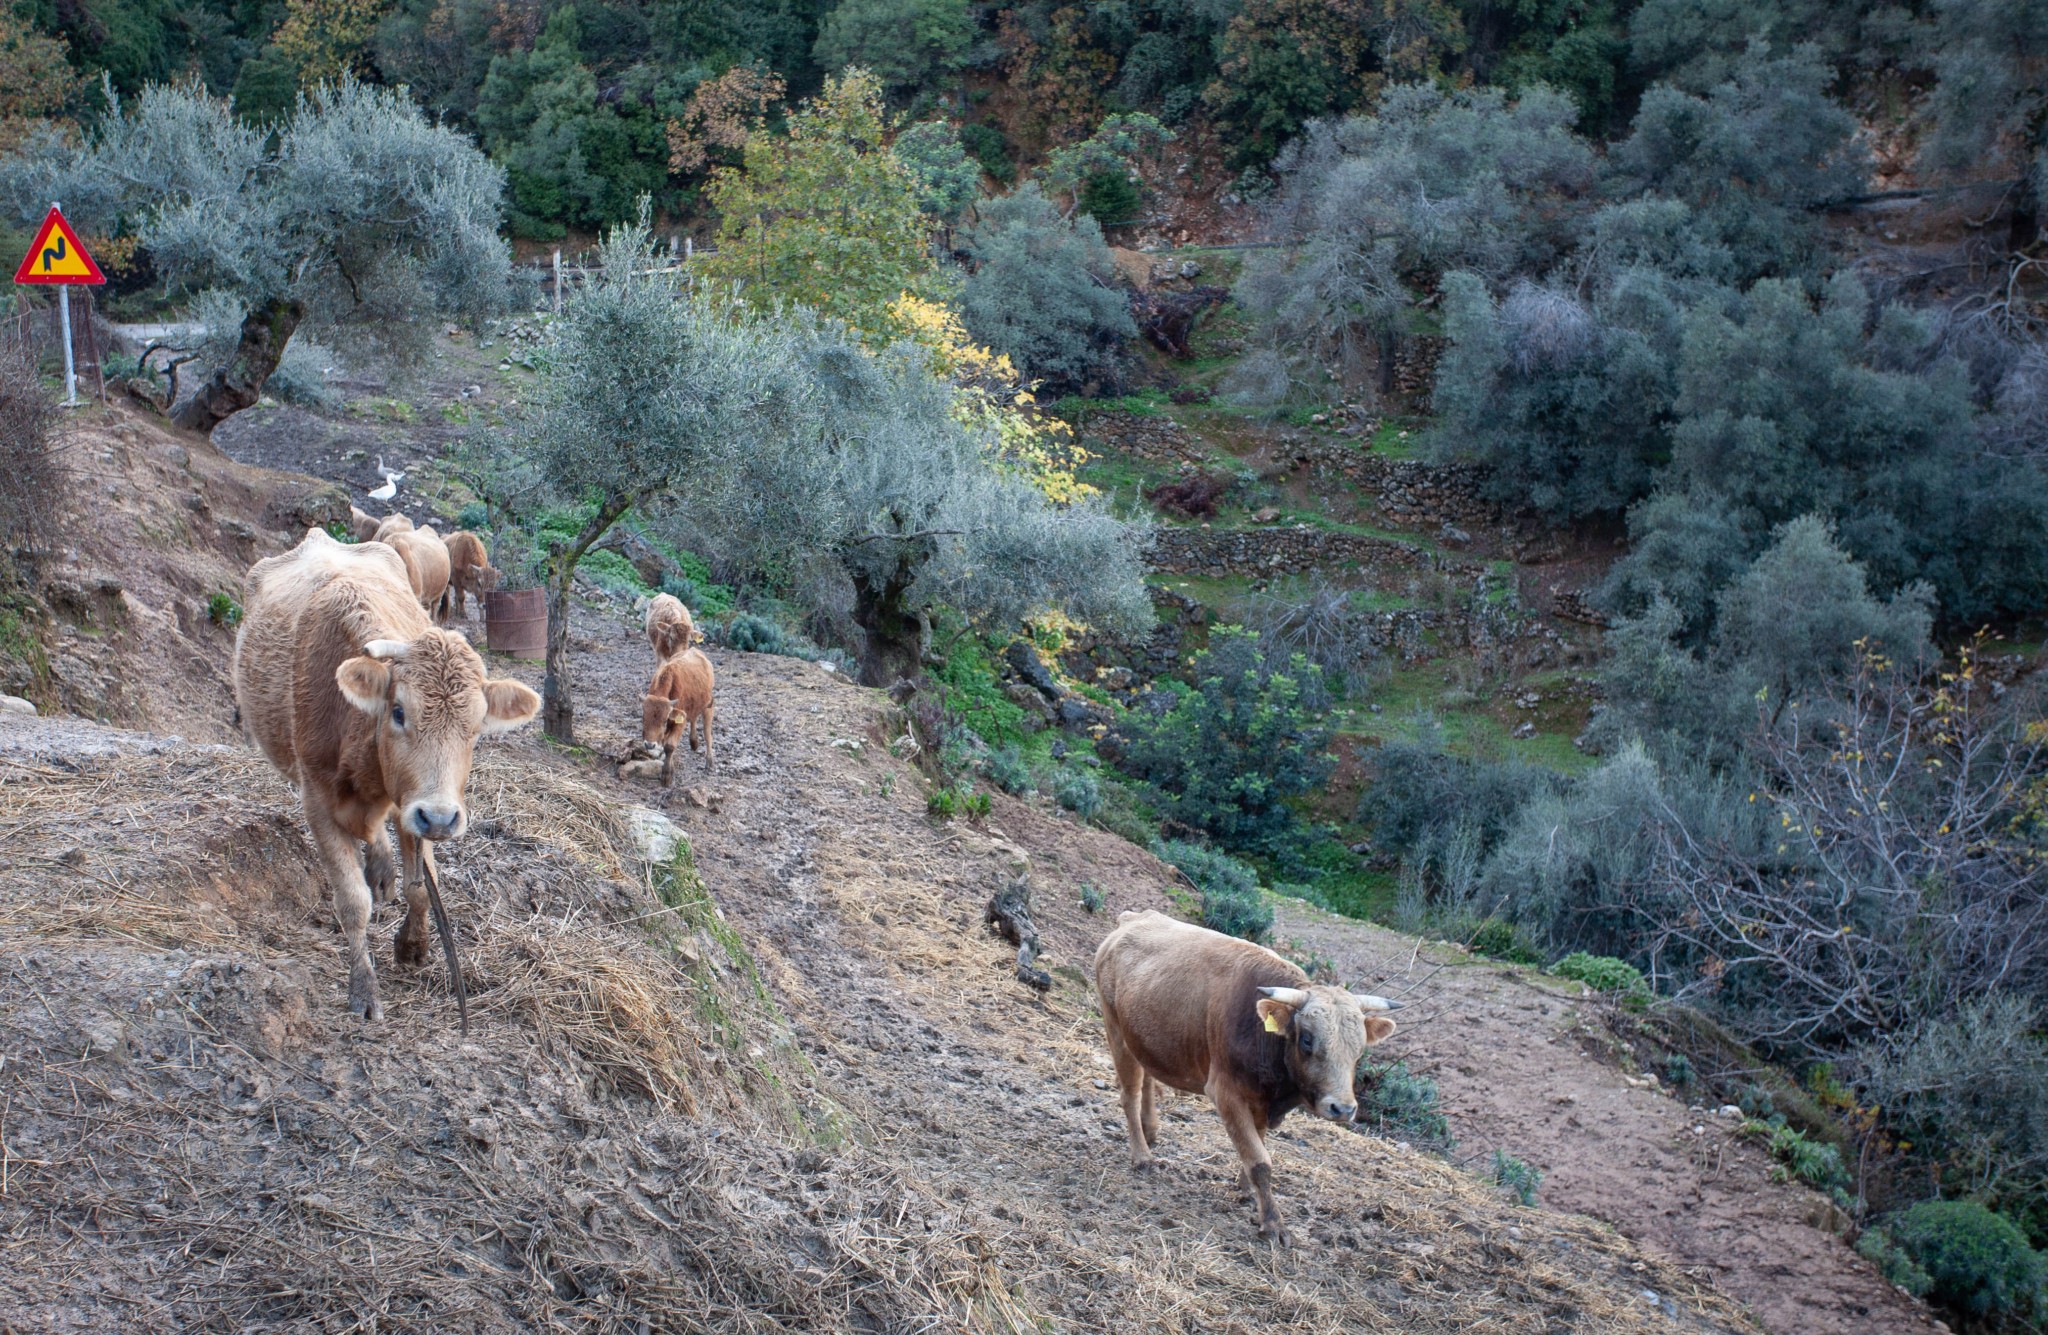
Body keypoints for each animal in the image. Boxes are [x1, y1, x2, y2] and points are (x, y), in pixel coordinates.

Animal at [233, 528, 540, 1015]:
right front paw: (363, 987)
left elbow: (421, 887)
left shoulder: (414, 805)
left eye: (476, 727)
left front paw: (413, 946)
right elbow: (351, 901)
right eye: (398, 712)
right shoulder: (318, 802)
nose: (441, 818)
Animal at [643, 647, 716, 782]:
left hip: (709, 705)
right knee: (693, 719)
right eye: (643, 717)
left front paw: (667, 776)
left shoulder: (679, 722)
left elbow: (670, 746)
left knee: (707, 733)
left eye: (664, 721)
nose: (649, 745)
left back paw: (709, 762)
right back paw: (694, 743)